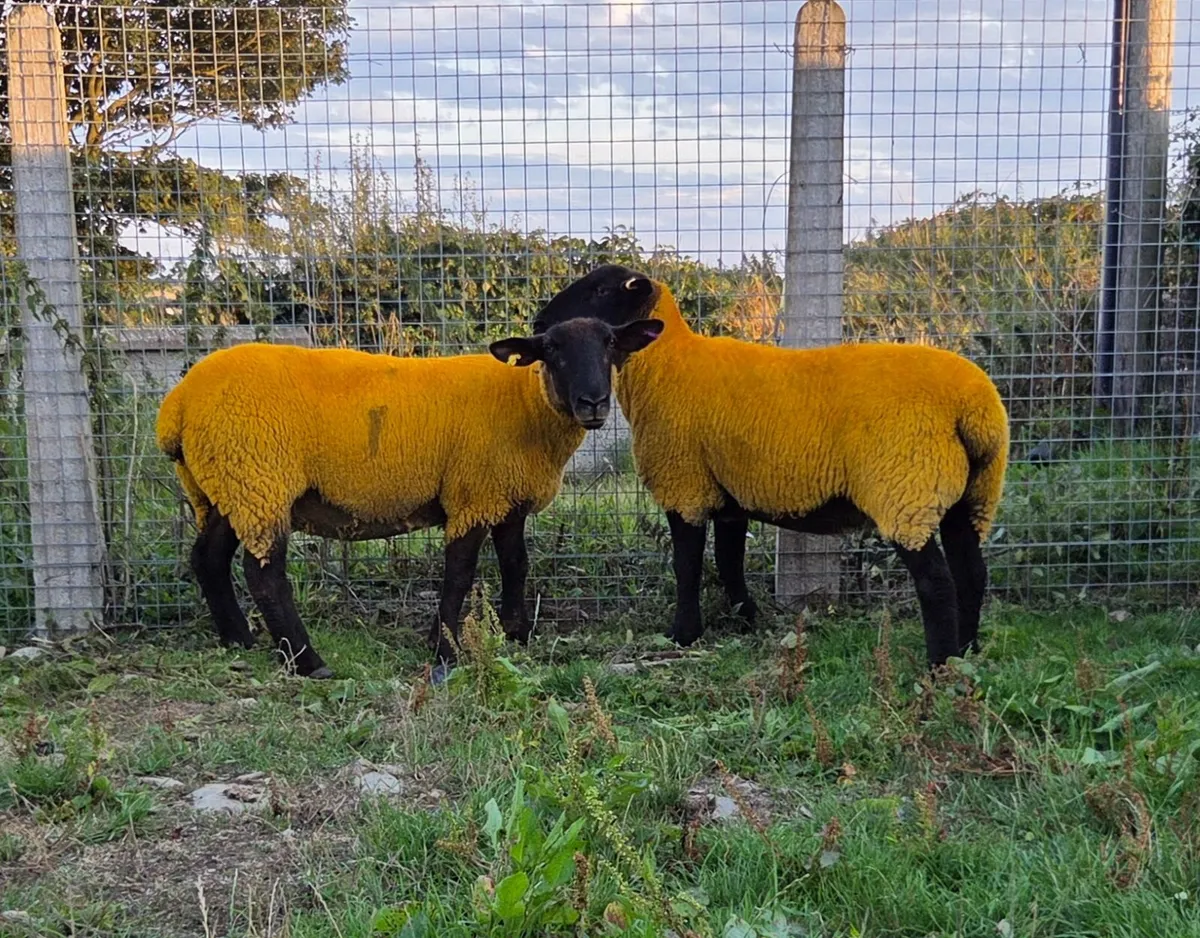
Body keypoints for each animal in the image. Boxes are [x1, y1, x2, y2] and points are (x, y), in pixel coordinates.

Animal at [155, 316, 665, 681]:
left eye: (611, 344)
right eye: (553, 349)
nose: (593, 402)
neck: (526, 404)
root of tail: (177, 406)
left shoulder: (506, 497)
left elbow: (516, 564)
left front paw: (517, 633)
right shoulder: (472, 493)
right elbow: (459, 575)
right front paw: (445, 650)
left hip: (222, 487)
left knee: (208, 559)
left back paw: (238, 640)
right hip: (259, 479)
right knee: (264, 574)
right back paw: (308, 662)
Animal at [532, 264, 1010, 668]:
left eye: (600, 290)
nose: (539, 324)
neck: (667, 366)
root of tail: (973, 407)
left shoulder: (684, 481)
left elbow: (687, 566)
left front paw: (683, 634)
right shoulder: (727, 490)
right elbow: (729, 560)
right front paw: (746, 617)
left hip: (906, 488)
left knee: (937, 582)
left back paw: (940, 665)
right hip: (972, 495)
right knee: (972, 573)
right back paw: (969, 651)